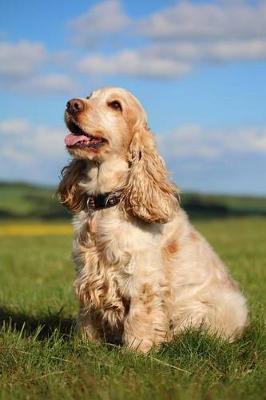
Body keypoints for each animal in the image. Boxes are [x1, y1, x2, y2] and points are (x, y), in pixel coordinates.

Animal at [57, 86, 247, 350]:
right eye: (88, 97)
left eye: (115, 105)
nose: (71, 104)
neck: (106, 203)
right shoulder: (87, 273)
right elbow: (88, 317)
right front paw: (86, 345)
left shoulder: (141, 277)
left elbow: (139, 318)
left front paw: (136, 350)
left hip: (225, 307)